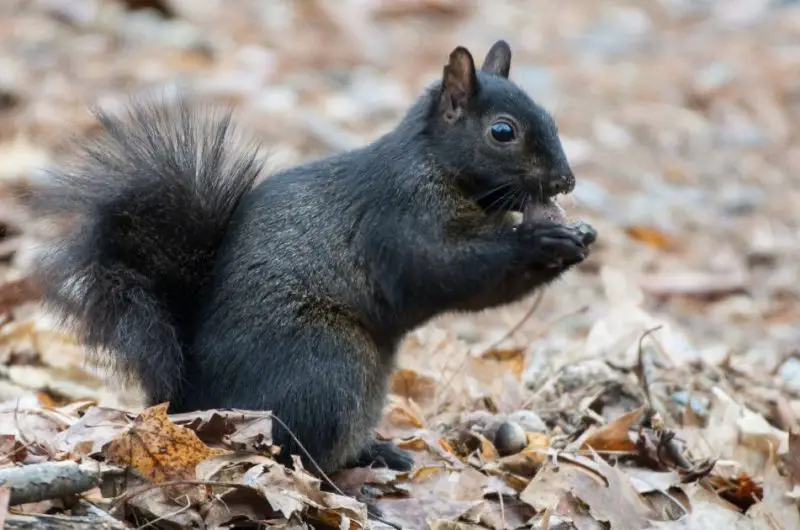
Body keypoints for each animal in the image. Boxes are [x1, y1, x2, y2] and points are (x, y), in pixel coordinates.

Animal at [31, 40, 597, 477]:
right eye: (503, 131)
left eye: (549, 116)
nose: (567, 181)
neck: (436, 165)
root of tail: (192, 401)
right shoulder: (399, 219)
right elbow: (446, 271)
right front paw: (541, 240)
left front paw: (580, 236)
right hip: (326, 365)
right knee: (295, 449)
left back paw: (377, 452)